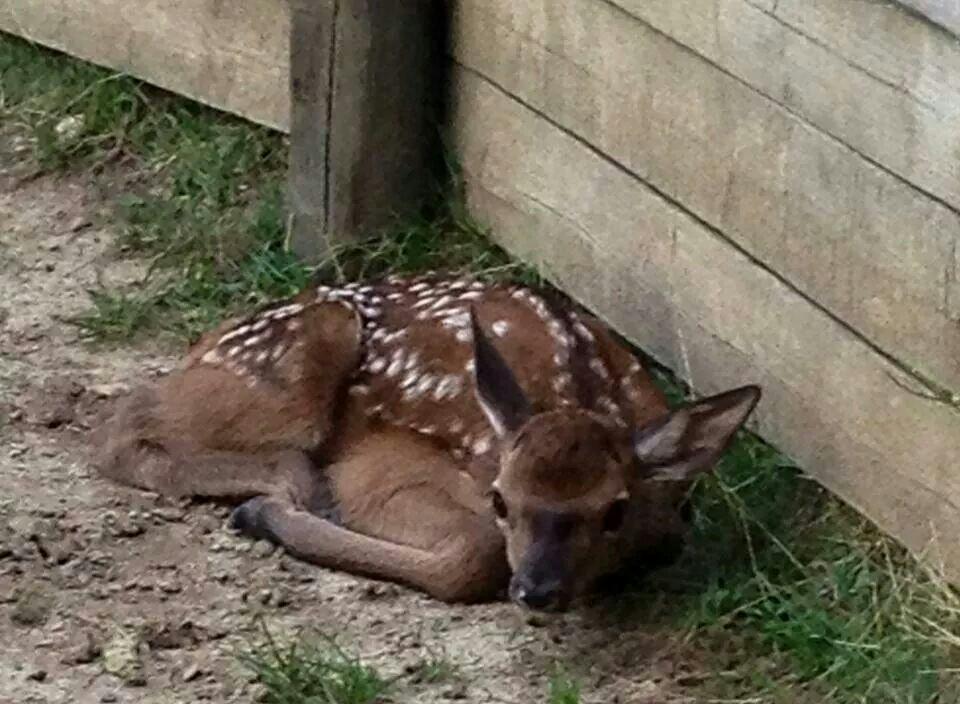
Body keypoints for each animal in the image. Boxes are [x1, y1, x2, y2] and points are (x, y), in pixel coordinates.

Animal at [94, 272, 760, 612]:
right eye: (499, 499)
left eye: (615, 509)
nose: (537, 590)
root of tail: (207, 340)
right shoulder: (386, 464)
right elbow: (476, 554)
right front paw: (273, 514)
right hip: (296, 361)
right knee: (124, 425)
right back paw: (290, 487)